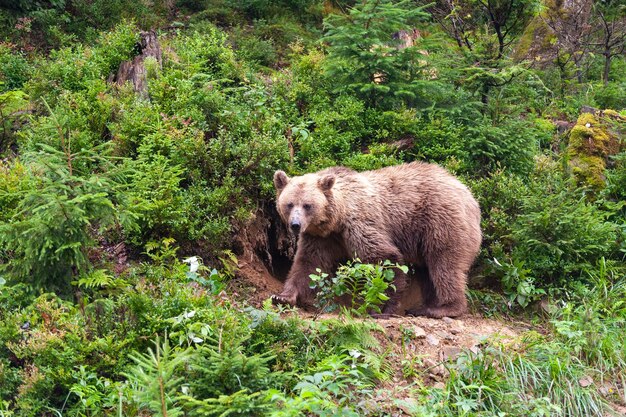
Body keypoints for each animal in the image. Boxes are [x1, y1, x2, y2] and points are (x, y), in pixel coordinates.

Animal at [270, 161, 480, 316]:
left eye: (307, 205)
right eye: (289, 204)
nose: (295, 225)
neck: (335, 220)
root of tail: (469, 196)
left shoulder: (359, 224)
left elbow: (385, 258)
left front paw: (383, 308)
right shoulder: (320, 237)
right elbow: (308, 265)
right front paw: (282, 296)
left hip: (440, 223)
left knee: (444, 264)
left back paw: (443, 308)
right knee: (428, 271)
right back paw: (426, 305)